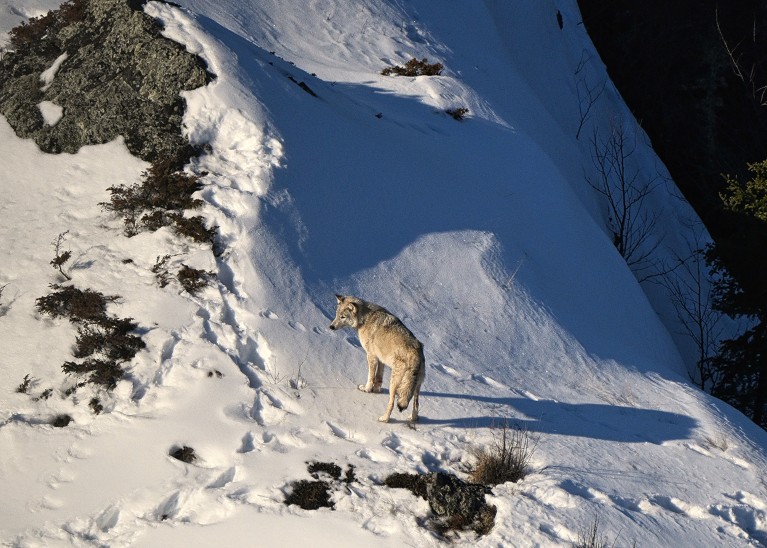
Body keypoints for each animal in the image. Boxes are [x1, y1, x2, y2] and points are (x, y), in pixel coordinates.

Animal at [329, 295, 425, 423]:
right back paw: (412, 418)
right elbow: (378, 378)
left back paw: (384, 419)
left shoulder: (371, 356)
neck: (364, 318)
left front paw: (366, 389)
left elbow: (370, 376)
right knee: (416, 404)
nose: (331, 326)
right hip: (415, 388)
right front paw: (376, 390)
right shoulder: (381, 359)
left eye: (342, 317)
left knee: (392, 403)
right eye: (336, 315)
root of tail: (416, 354)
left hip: (393, 384)